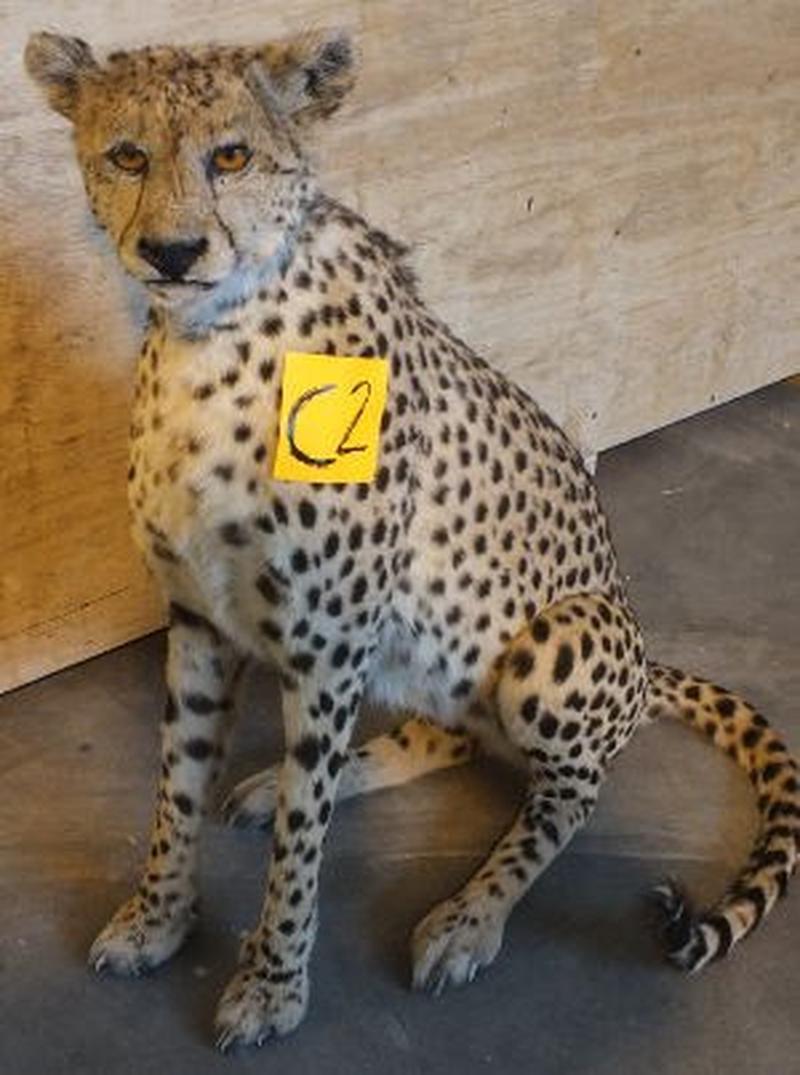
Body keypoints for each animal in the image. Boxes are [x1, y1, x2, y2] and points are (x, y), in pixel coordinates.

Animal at [25, 28, 799, 1052]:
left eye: (230, 156)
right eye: (127, 156)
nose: (172, 250)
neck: (212, 335)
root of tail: (644, 670)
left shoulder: (327, 648)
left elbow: (302, 846)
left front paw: (272, 985)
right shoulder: (198, 620)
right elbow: (177, 787)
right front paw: (157, 918)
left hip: (562, 635)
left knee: (571, 792)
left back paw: (469, 915)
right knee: (452, 738)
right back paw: (288, 783)